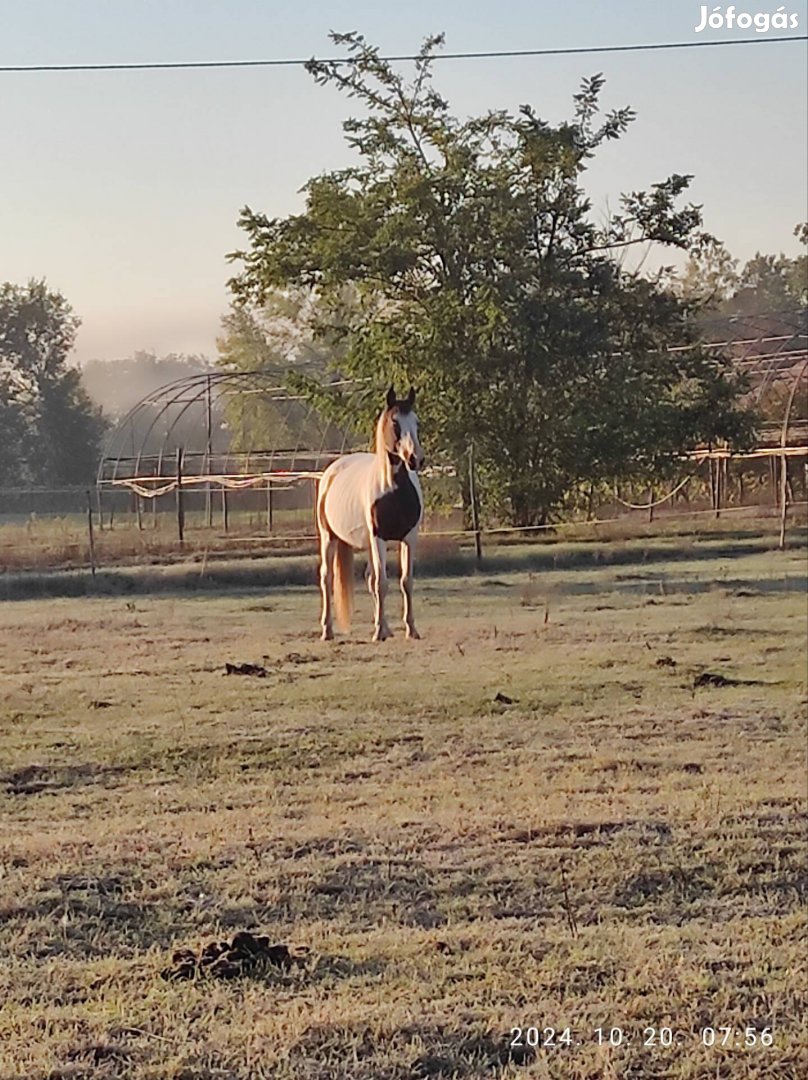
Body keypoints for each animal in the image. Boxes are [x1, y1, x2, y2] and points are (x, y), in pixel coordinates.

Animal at [315, 388, 425, 639]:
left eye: (416, 422)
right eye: (395, 422)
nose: (416, 459)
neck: (393, 490)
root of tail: (332, 471)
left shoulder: (410, 538)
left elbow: (406, 582)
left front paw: (411, 629)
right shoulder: (379, 538)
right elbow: (381, 584)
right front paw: (379, 632)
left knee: (370, 577)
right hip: (329, 538)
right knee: (327, 578)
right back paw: (327, 630)